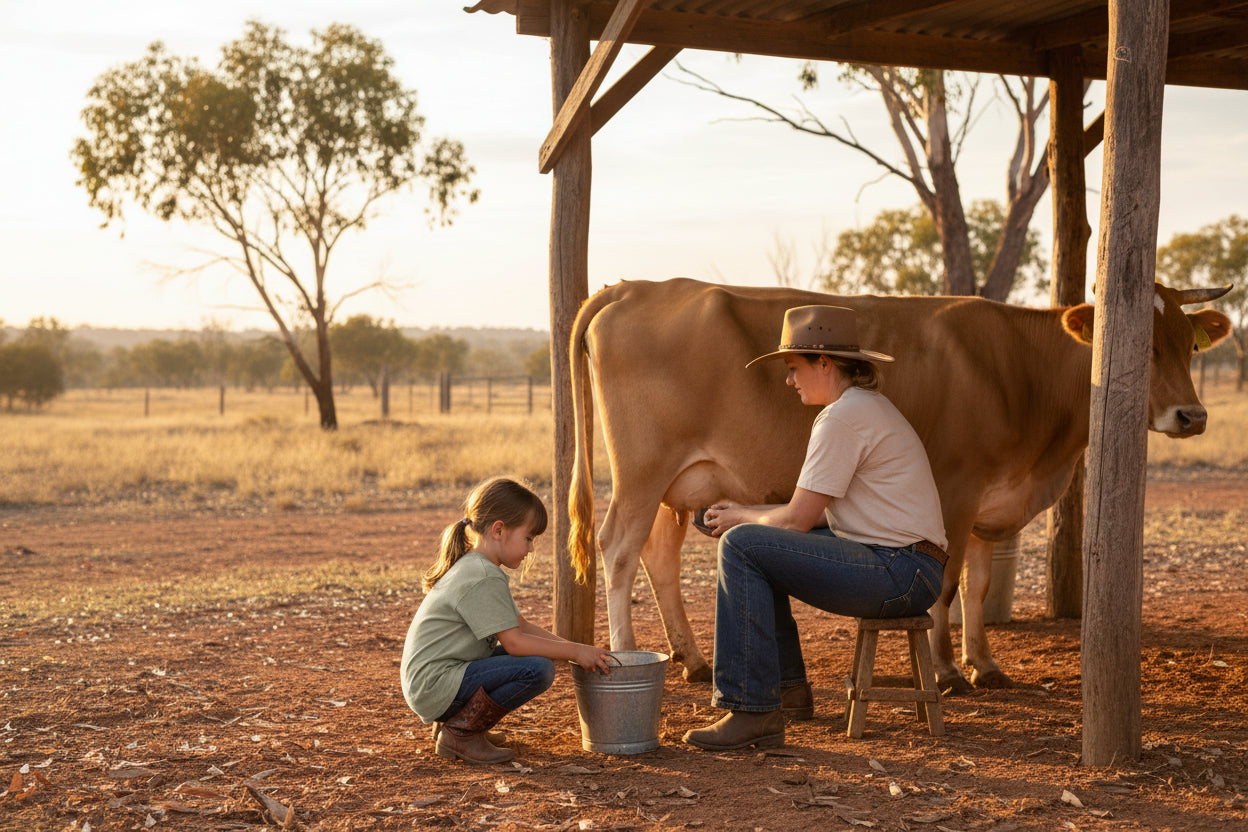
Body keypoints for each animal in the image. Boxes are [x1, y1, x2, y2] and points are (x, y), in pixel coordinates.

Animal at [568, 278, 1232, 694]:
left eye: (1187, 344)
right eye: (1137, 347)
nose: (1192, 416)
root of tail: (635, 285)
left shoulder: (990, 501)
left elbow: (979, 585)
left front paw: (985, 664)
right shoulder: (956, 489)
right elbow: (950, 583)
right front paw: (946, 672)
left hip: (678, 484)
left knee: (658, 555)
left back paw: (693, 659)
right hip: (642, 470)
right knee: (619, 549)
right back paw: (629, 653)